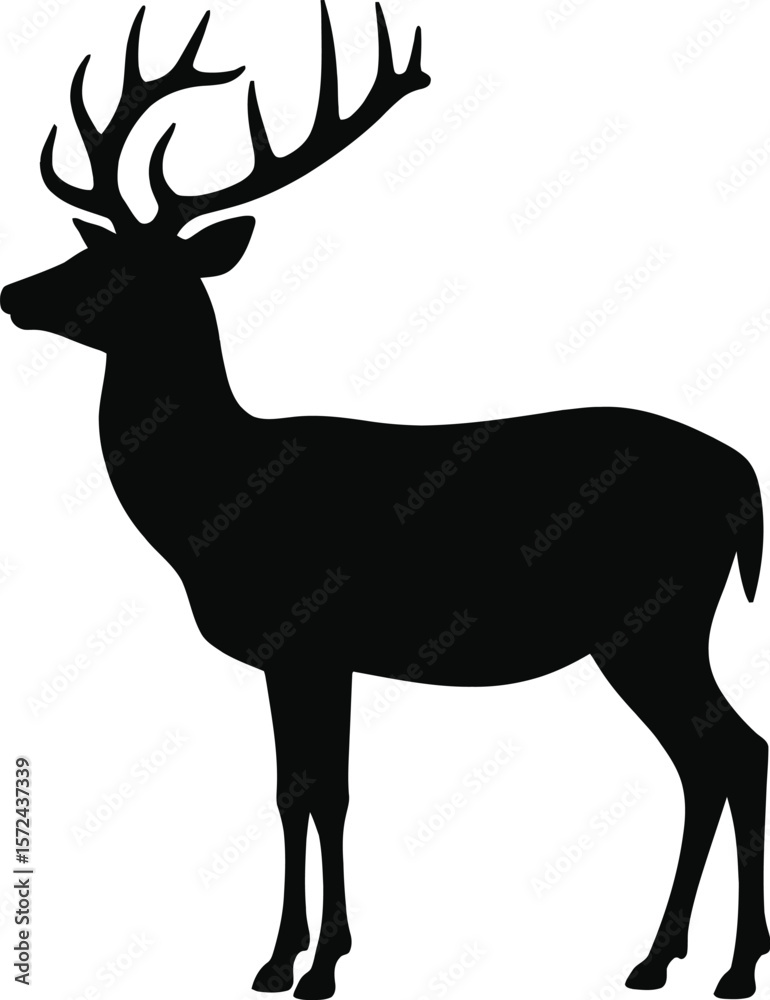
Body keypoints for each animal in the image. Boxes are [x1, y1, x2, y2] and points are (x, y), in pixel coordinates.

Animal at [2, 4, 768, 999]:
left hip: (655, 617)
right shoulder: (302, 656)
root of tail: (743, 479)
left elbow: (321, 796)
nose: (13, 293)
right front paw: (288, 958)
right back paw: (662, 958)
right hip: (657, 628)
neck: (213, 503)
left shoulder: (312, 639)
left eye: (137, 267)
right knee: (709, 762)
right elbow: (295, 794)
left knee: (734, 753)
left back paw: (728, 967)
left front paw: (312, 964)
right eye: (90, 245)